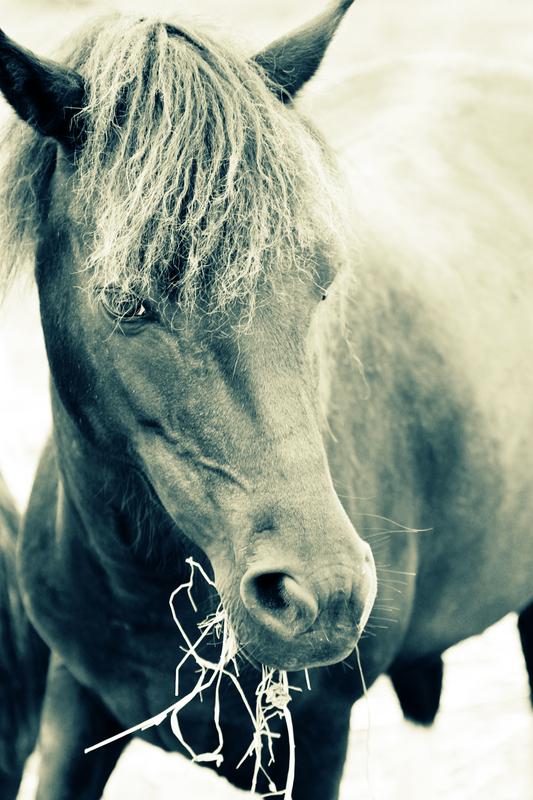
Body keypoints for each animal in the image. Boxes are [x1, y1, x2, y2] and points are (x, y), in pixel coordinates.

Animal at [1, 1, 533, 797]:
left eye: (322, 283)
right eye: (124, 302)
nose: (325, 593)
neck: (140, 594)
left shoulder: (319, 736)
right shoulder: (73, 701)